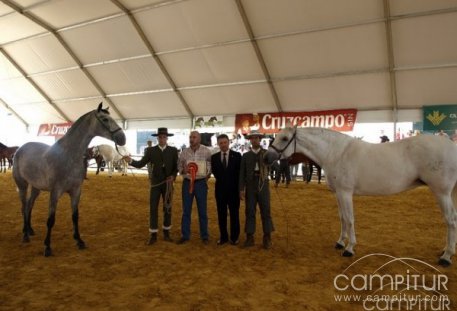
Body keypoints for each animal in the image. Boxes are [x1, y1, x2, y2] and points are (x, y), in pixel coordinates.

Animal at [13, 103, 125, 258]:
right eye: (104, 119)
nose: (122, 138)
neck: (68, 155)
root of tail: (20, 149)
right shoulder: (55, 192)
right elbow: (51, 220)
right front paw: (47, 247)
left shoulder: (76, 191)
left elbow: (75, 216)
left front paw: (79, 241)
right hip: (22, 184)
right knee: (23, 206)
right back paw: (25, 235)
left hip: (36, 187)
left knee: (30, 205)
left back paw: (30, 230)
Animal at [264, 127, 456, 268]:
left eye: (284, 138)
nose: (267, 157)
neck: (336, 152)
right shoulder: (338, 193)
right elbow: (342, 218)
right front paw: (340, 243)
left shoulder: (345, 192)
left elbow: (349, 219)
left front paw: (349, 249)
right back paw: (446, 251)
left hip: (442, 192)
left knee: (450, 220)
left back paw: (446, 257)